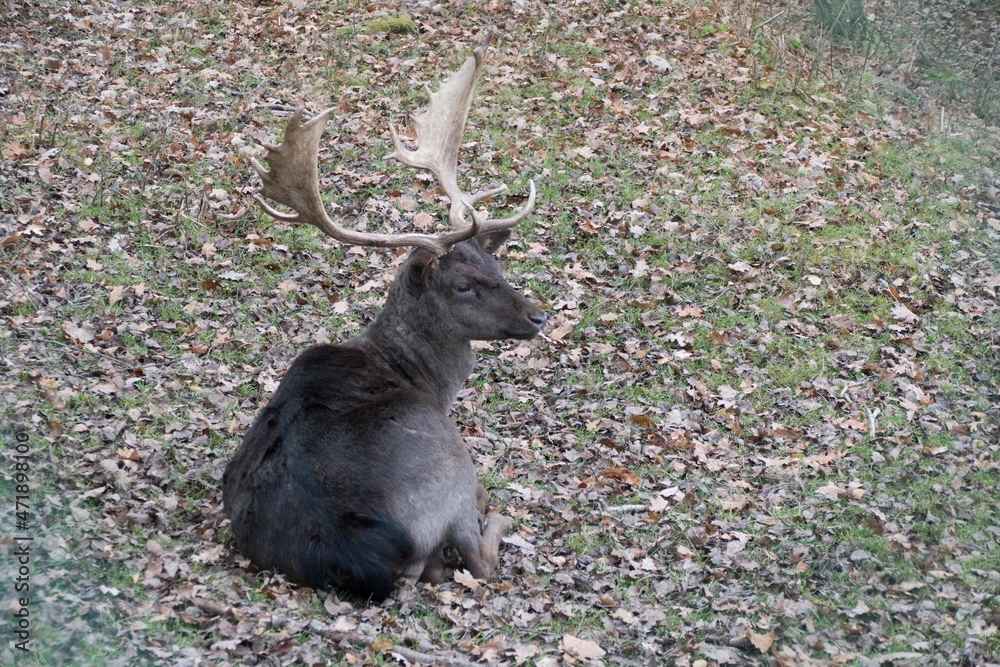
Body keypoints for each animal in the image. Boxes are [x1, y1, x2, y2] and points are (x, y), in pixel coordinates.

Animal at [222, 33, 546, 603]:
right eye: (463, 285)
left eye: (496, 265)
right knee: (477, 558)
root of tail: (356, 553)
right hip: (450, 468)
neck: (421, 374)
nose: (537, 316)